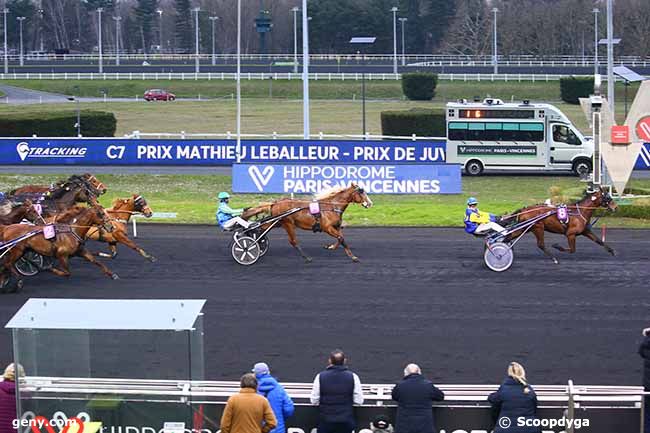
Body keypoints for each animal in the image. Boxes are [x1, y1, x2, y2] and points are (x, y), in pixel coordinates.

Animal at [240, 183, 372, 262]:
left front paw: (330, 246)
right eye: (361, 192)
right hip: (288, 223)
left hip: (278, 222)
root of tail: (275, 203)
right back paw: (306, 257)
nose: (370, 203)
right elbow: (341, 238)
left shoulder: (336, 226)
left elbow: (340, 238)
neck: (332, 206)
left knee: (262, 228)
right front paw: (353, 257)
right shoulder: (327, 228)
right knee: (293, 241)